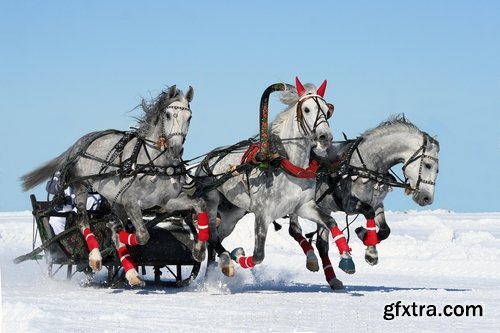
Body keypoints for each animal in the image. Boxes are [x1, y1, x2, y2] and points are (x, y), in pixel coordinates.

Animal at [21, 85, 207, 286]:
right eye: (168, 114)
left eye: (189, 116)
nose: (175, 149)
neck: (152, 164)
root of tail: (79, 143)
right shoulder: (131, 201)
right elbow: (142, 235)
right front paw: (113, 235)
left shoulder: (168, 201)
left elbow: (199, 204)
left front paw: (199, 250)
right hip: (82, 185)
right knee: (82, 219)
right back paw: (96, 257)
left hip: (114, 200)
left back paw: (131, 272)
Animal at [193, 77, 354, 288]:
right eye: (307, 109)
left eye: (327, 111)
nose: (325, 137)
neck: (287, 166)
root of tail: (208, 158)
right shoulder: (263, 214)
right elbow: (258, 255)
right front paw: (239, 254)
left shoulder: (303, 206)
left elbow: (330, 221)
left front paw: (346, 258)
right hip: (211, 201)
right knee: (211, 235)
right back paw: (222, 259)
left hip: (232, 213)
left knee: (217, 237)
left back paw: (212, 274)